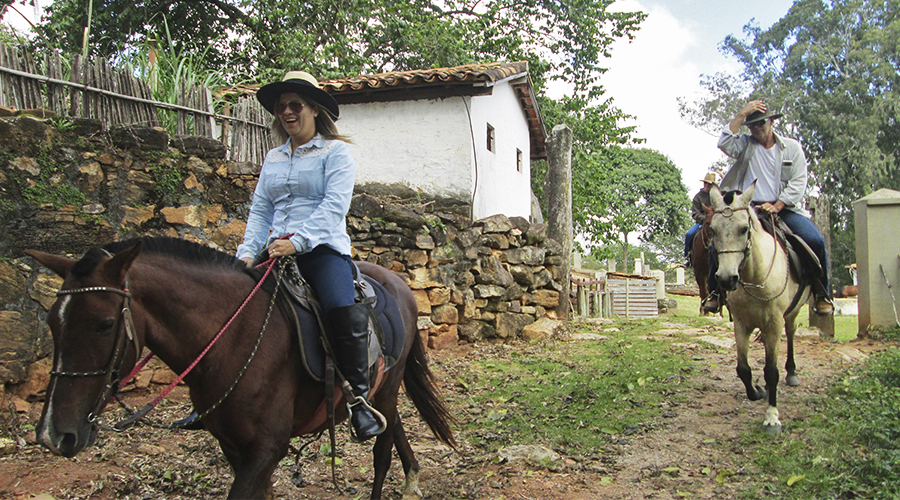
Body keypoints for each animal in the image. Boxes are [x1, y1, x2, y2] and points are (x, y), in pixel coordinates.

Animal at [24, 238, 454, 500]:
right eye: (52, 323)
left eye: (104, 324)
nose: (53, 435)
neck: (232, 339)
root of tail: (397, 281)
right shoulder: (233, 447)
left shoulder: (265, 449)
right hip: (382, 389)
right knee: (392, 425)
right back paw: (412, 477)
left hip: (389, 384)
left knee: (382, 450)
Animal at [708, 185, 812, 434]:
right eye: (713, 230)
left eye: (744, 229)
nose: (726, 279)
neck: (755, 276)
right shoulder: (741, 324)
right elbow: (743, 369)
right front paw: (757, 391)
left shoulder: (774, 323)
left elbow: (772, 372)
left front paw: (772, 417)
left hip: (791, 314)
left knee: (791, 334)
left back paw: (792, 372)